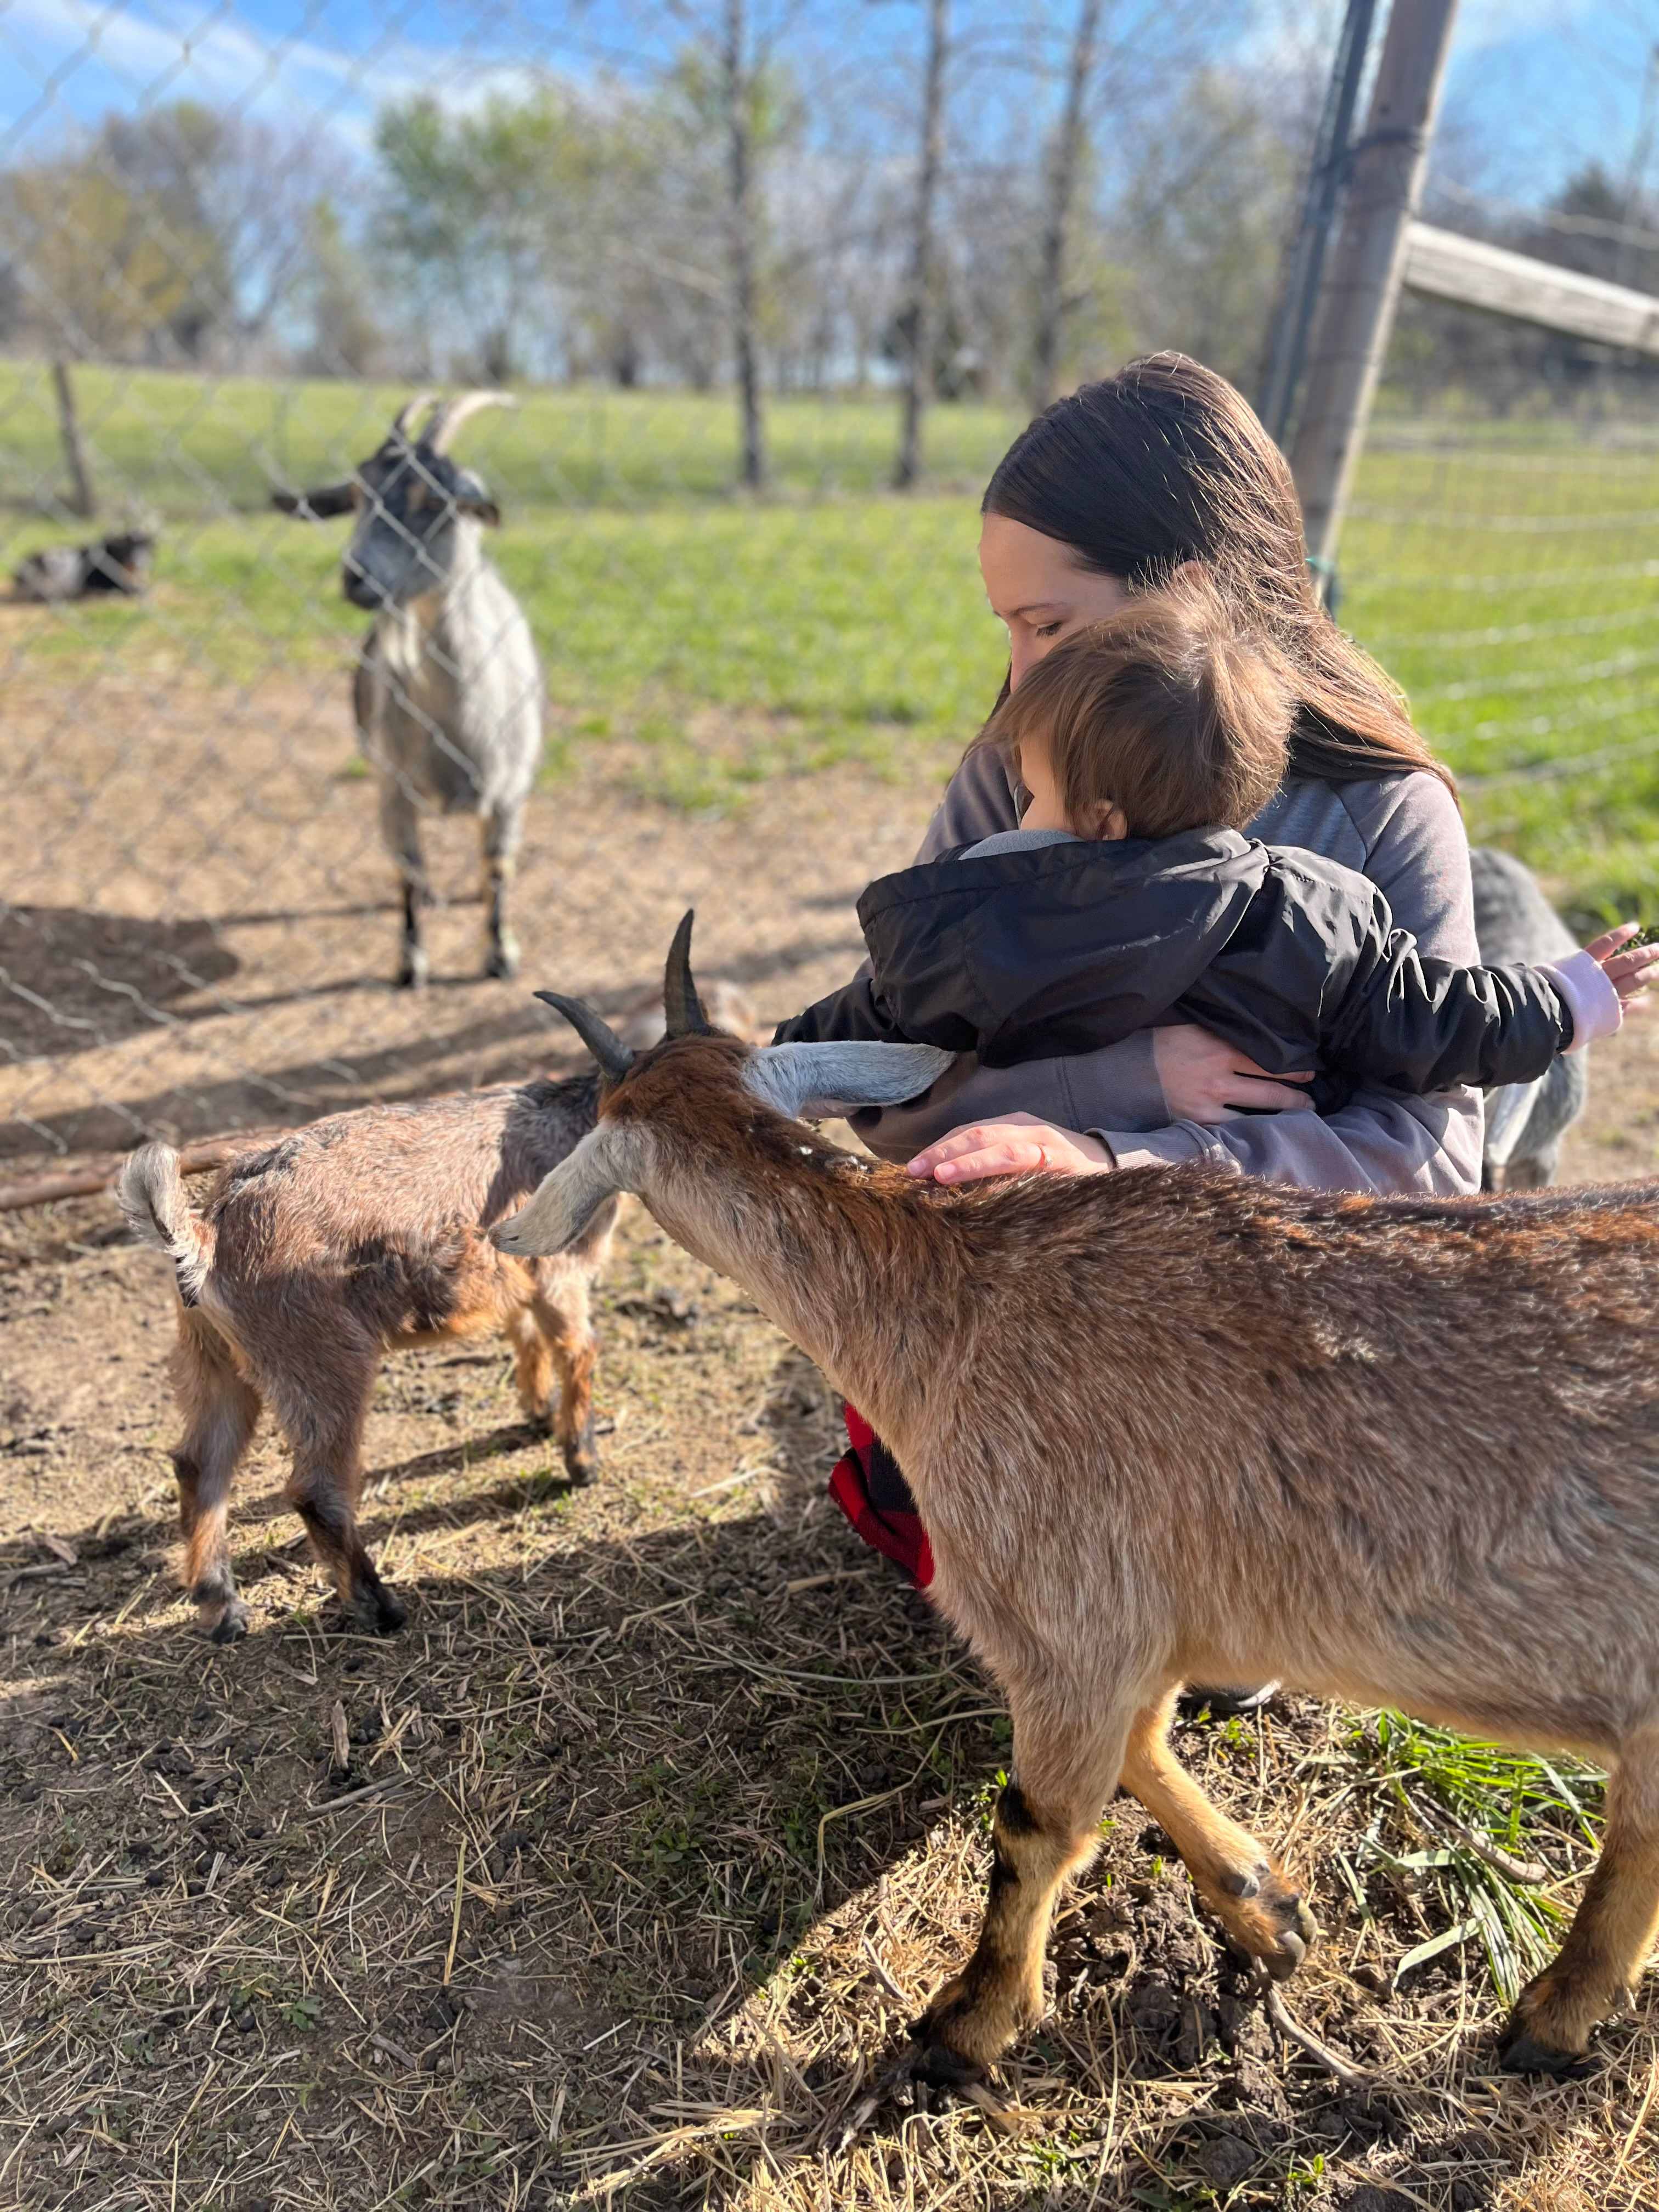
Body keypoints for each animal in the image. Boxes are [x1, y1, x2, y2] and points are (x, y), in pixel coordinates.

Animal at [121, 1075, 612, 1643]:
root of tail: (205, 1237)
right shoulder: (560, 1272)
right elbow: (578, 1349)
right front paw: (583, 1463)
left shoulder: (515, 1279)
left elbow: (523, 1330)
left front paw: (538, 1411)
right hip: (321, 1359)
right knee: (316, 1490)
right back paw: (379, 1607)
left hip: (212, 1356)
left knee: (200, 1465)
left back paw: (222, 1610)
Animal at [273, 392, 542, 987]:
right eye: (356, 496)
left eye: (435, 500)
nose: (357, 577)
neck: (461, 728)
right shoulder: (392, 789)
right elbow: (408, 870)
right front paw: (410, 962)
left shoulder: (511, 793)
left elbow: (499, 867)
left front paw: (501, 955)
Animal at [495, 913, 1659, 2088]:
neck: (947, 1300)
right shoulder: (1141, 1608)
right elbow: (1143, 1741)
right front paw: (1262, 1905)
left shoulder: (1060, 1604)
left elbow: (1034, 1823)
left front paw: (963, 2025)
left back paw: (1549, 2017)